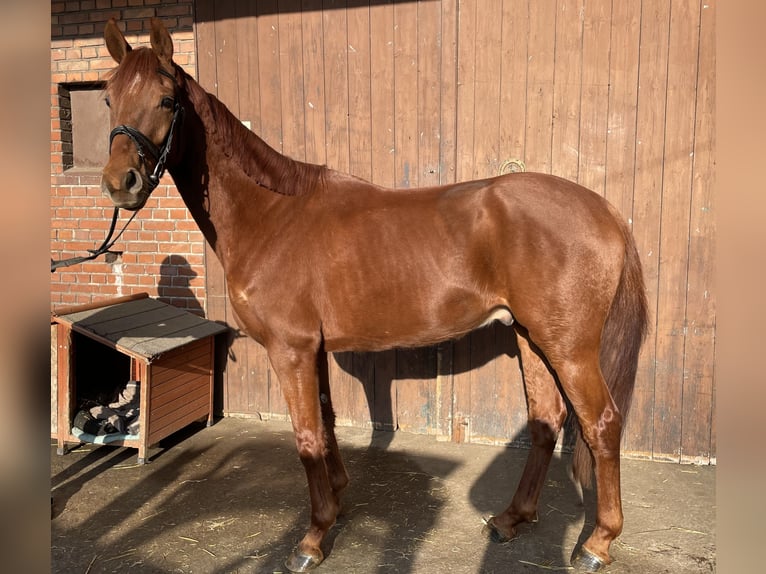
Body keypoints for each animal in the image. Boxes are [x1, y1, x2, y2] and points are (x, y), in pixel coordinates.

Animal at [97, 19, 648, 574]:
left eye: (167, 100)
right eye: (107, 98)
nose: (121, 183)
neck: (272, 217)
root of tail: (604, 210)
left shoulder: (290, 350)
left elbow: (306, 436)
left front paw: (312, 538)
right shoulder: (312, 350)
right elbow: (325, 421)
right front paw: (337, 501)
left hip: (570, 349)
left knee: (601, 424)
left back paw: (597, 542)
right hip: (532, 338)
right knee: (546, 421)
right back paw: (512, 519)